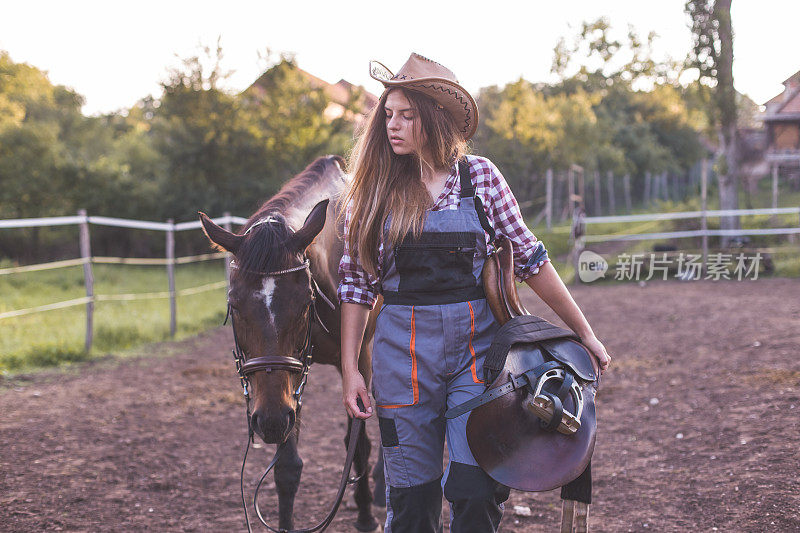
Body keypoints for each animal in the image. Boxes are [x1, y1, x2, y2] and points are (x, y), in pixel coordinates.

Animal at [203, 153, 384, 528]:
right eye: (234, 304)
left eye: (304, 302)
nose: (269, 421)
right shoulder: (288, 381)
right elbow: (287, 468)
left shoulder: (358, 358)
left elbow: (358, 443)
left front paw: (364, 515)